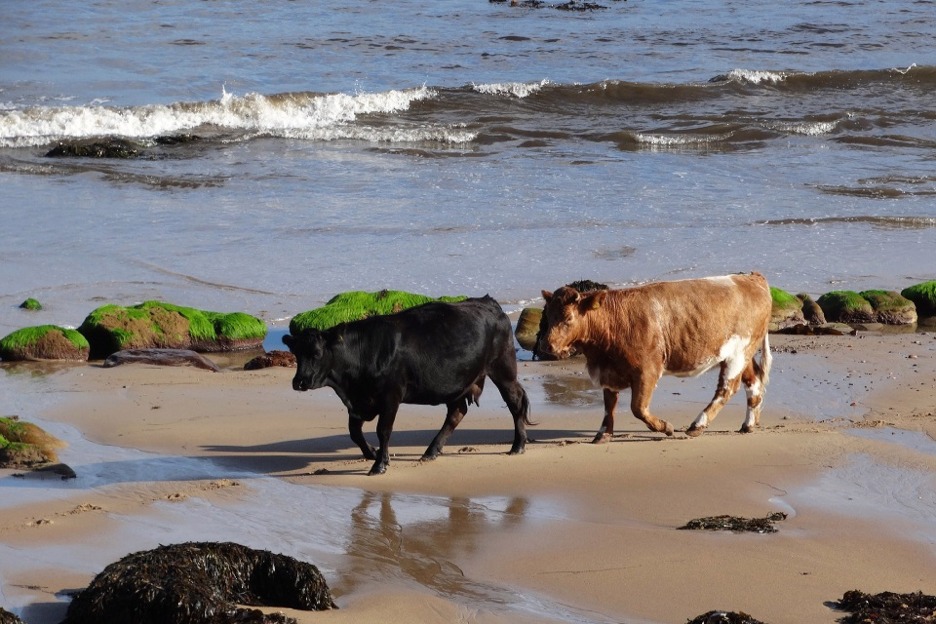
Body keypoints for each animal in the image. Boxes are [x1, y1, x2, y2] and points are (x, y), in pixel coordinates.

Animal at [284, 294, 532, 476]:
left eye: (316, 353)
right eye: (296, 353)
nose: (299, 382)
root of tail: (488, 302)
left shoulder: (390, 396)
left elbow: (383, 430)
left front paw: (379, 465)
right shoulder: (359, 402)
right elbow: (354, 432)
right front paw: (372, 453)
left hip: (503, 369)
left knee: (514, 401)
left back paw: (518, 445)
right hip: (459, 382)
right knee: (457, 412)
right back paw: (431, 451)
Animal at [536, 274, 772, 444]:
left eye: (568, 318)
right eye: (548, 315)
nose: (547, 346)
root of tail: (751, 278)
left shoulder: (647, 370)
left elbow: (638, 408)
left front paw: (665, 427)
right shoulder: (609, 371)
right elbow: (609, 405)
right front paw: (603, 434)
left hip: (738, 354)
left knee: (727, 388)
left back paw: (697, 426)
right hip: (742, 354)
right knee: (753, 382)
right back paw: (748, 425)